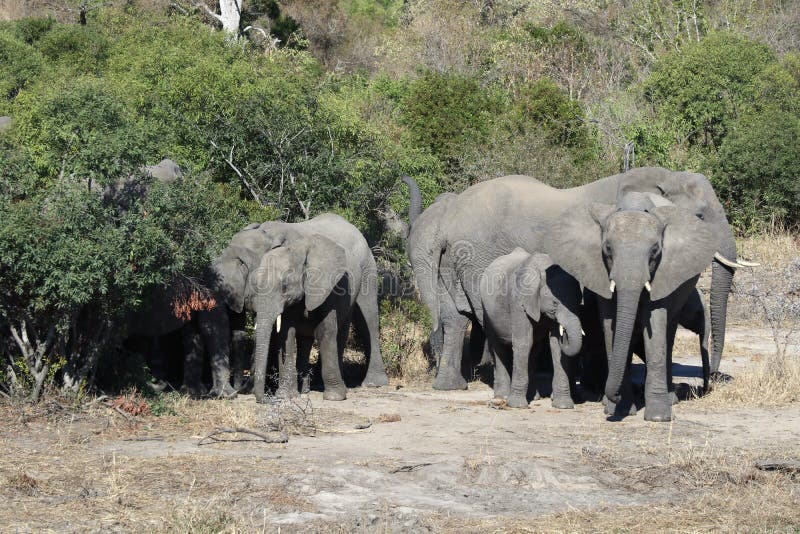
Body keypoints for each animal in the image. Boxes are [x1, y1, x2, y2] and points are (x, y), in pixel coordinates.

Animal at [478, 250, 584, 410]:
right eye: (555, 303)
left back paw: (533, 397)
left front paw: (563, 406)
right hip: (487, 313)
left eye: (579, 301)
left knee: (534, 351)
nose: (564, 332)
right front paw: (517, 406)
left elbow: (555, 347)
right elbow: (523, 342)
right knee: (498, 348)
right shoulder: (518, 301)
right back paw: (502, 397)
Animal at [548, 205, 716, 422]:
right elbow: (611, 325)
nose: (615, 396)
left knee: (668, 335)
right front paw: (620, 410)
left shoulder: (663, 274)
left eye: (655, 250)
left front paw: (658, 417)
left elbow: (655, 326)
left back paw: (670, 399)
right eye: (608, 248)